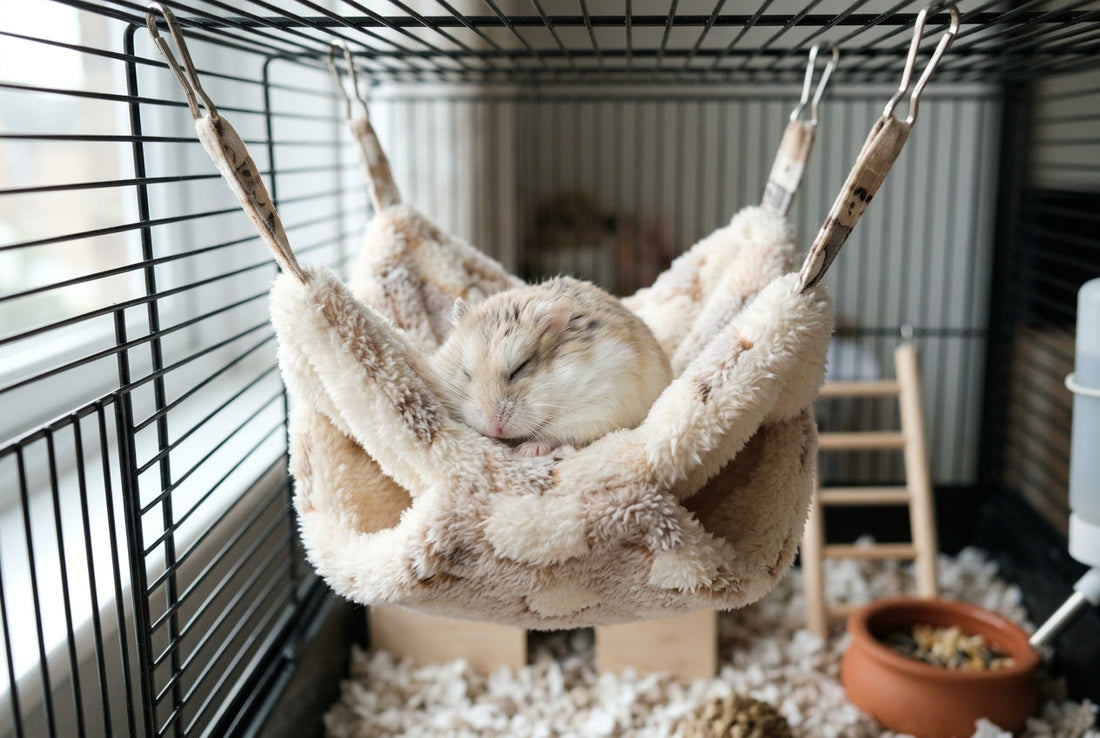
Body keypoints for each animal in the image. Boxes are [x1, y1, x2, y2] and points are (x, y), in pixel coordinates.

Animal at [429, 276, 673, 456]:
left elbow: (555, 434)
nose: (493, 429)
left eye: (520, 368)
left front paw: (529, 450)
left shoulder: (599, 407)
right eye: (466, 373)